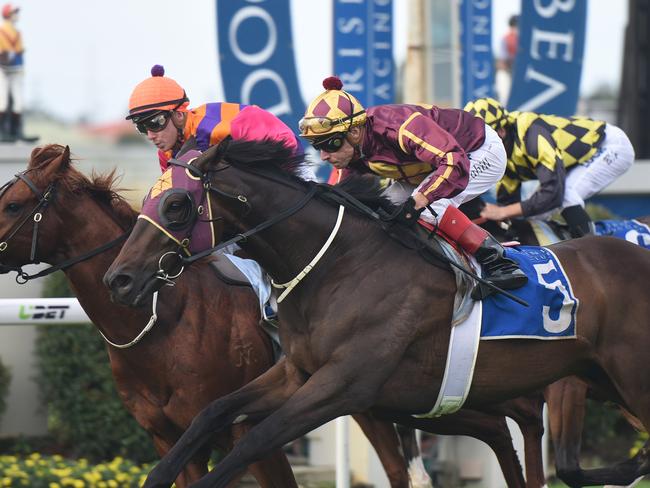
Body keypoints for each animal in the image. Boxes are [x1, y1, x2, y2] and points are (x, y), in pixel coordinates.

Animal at [0, 146, 548, 488]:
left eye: (13, 204)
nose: (120, 280)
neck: (164, 323)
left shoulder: (248, 433)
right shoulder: (167, 437)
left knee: (507, 419)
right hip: (401, 399)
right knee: (486, 431)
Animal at [104, 138, 648, 488]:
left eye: (177, 204)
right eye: (148, 198)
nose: (119, 279)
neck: (341, 264)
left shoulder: (343, 385)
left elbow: (255, 440)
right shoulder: (297, 372)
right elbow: (211, 414)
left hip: (621, 381)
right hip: (595, 378)